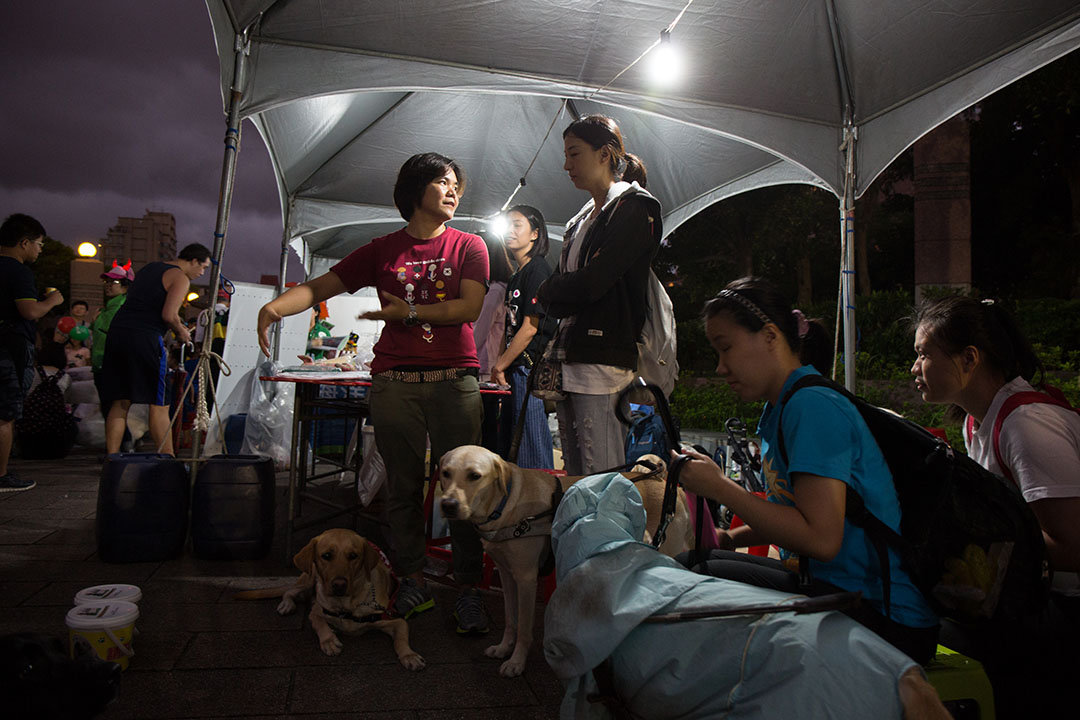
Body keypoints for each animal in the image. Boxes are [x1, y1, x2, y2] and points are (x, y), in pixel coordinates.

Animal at [436, 446, 691, 677]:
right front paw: (503, 648)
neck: (505, 504)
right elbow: (510, 619)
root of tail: (661, 479)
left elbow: (524, 628)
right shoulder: (506, 573)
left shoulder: (526, 578)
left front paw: (516, 662)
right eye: (445, 473)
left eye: (475, 475)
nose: (448, 505)